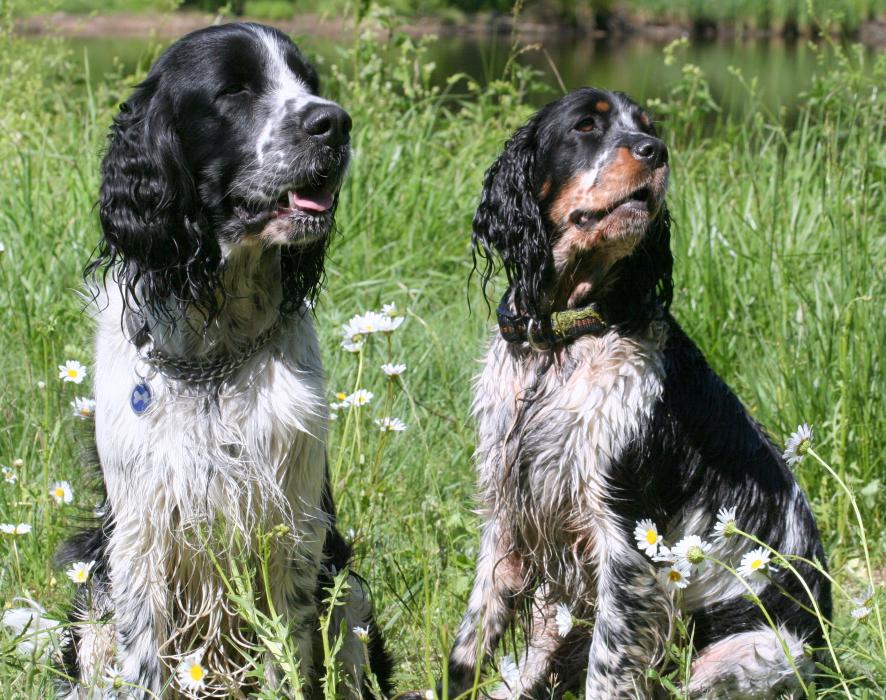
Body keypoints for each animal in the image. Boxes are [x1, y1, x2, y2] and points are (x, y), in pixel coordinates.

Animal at [59, 23, 392, 700]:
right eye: (234, 90)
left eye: (309, 83)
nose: (335, 123)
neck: (213, 347)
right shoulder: (139, 533)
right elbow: (144, 657)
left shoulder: (292, 523)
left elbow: (286, 650)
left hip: (348, 591)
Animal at [444, 90, 832, 696]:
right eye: (586, 125)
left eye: (649, 128)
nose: (656, 151)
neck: (562, 341)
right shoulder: (510, 511)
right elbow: (471, 639)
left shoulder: (626, 538)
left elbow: (607, 668)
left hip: (756, 651)